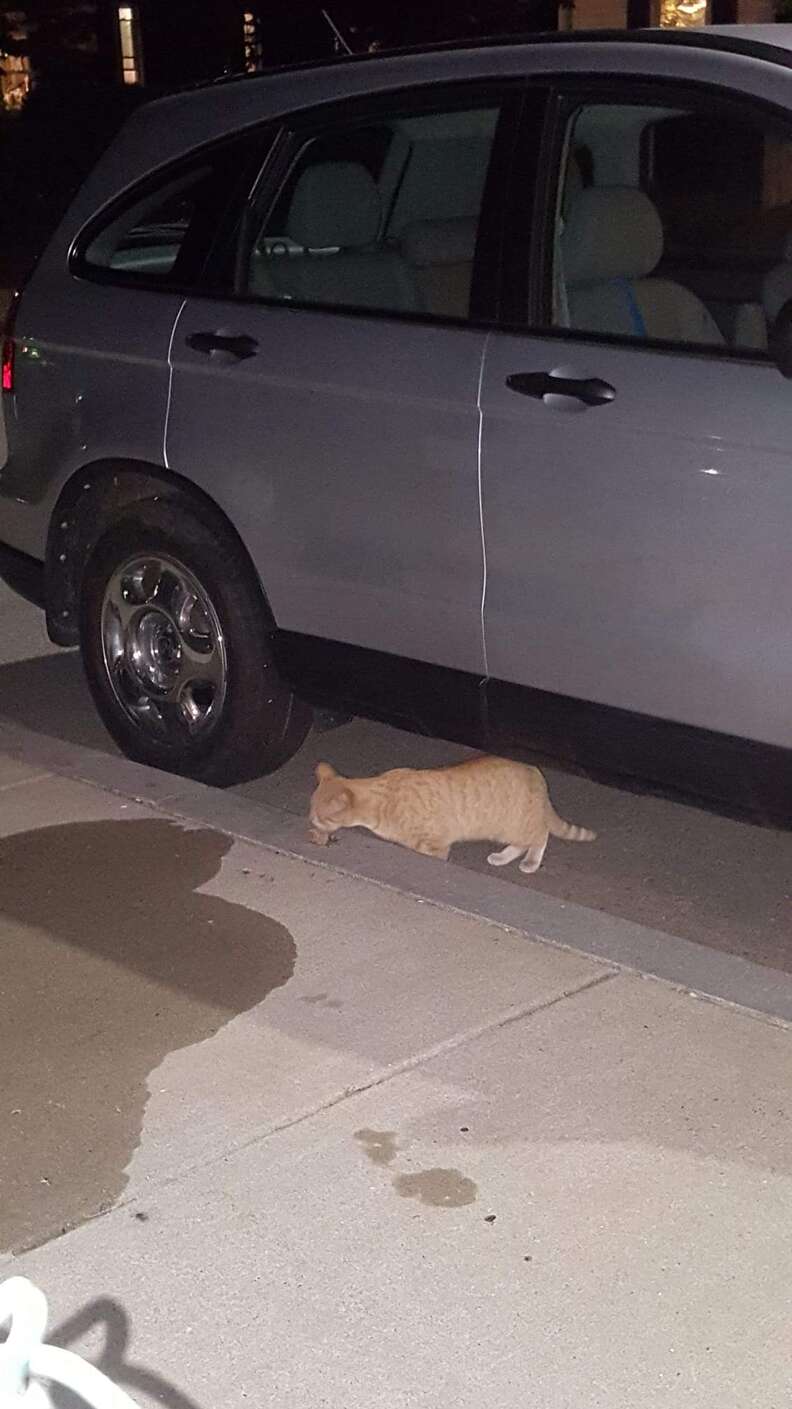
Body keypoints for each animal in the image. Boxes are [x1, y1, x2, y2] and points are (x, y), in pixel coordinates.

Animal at [308, 760, 591, 867]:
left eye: (320, 817)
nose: (310, 822)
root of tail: (535, 772)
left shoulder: (436, 847)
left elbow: (420, 850)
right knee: (523, 842)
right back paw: (501, 857)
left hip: (517, 825)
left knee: (540, 836)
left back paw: (531, 862)